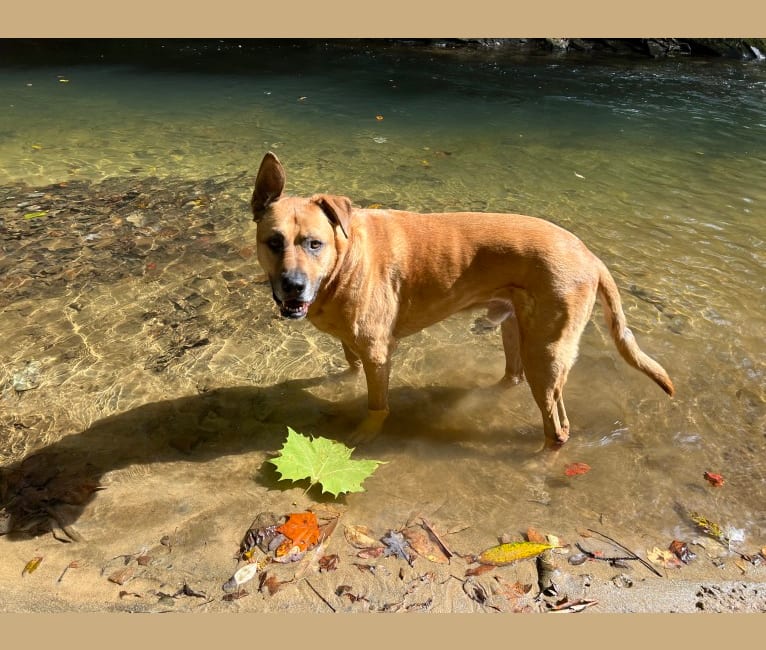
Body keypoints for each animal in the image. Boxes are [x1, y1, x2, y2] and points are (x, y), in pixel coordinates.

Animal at [249, 152, 676, 446]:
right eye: (274, 242)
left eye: (314, 243)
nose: (293, 286)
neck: (343, 259)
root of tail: (590, 255)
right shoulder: (353, 344)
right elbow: (349, 367)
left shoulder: (378, 353)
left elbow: (377, 404)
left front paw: (368, 432)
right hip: (516, 330)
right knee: (512, 377)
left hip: (546, 354)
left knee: (557, 426)